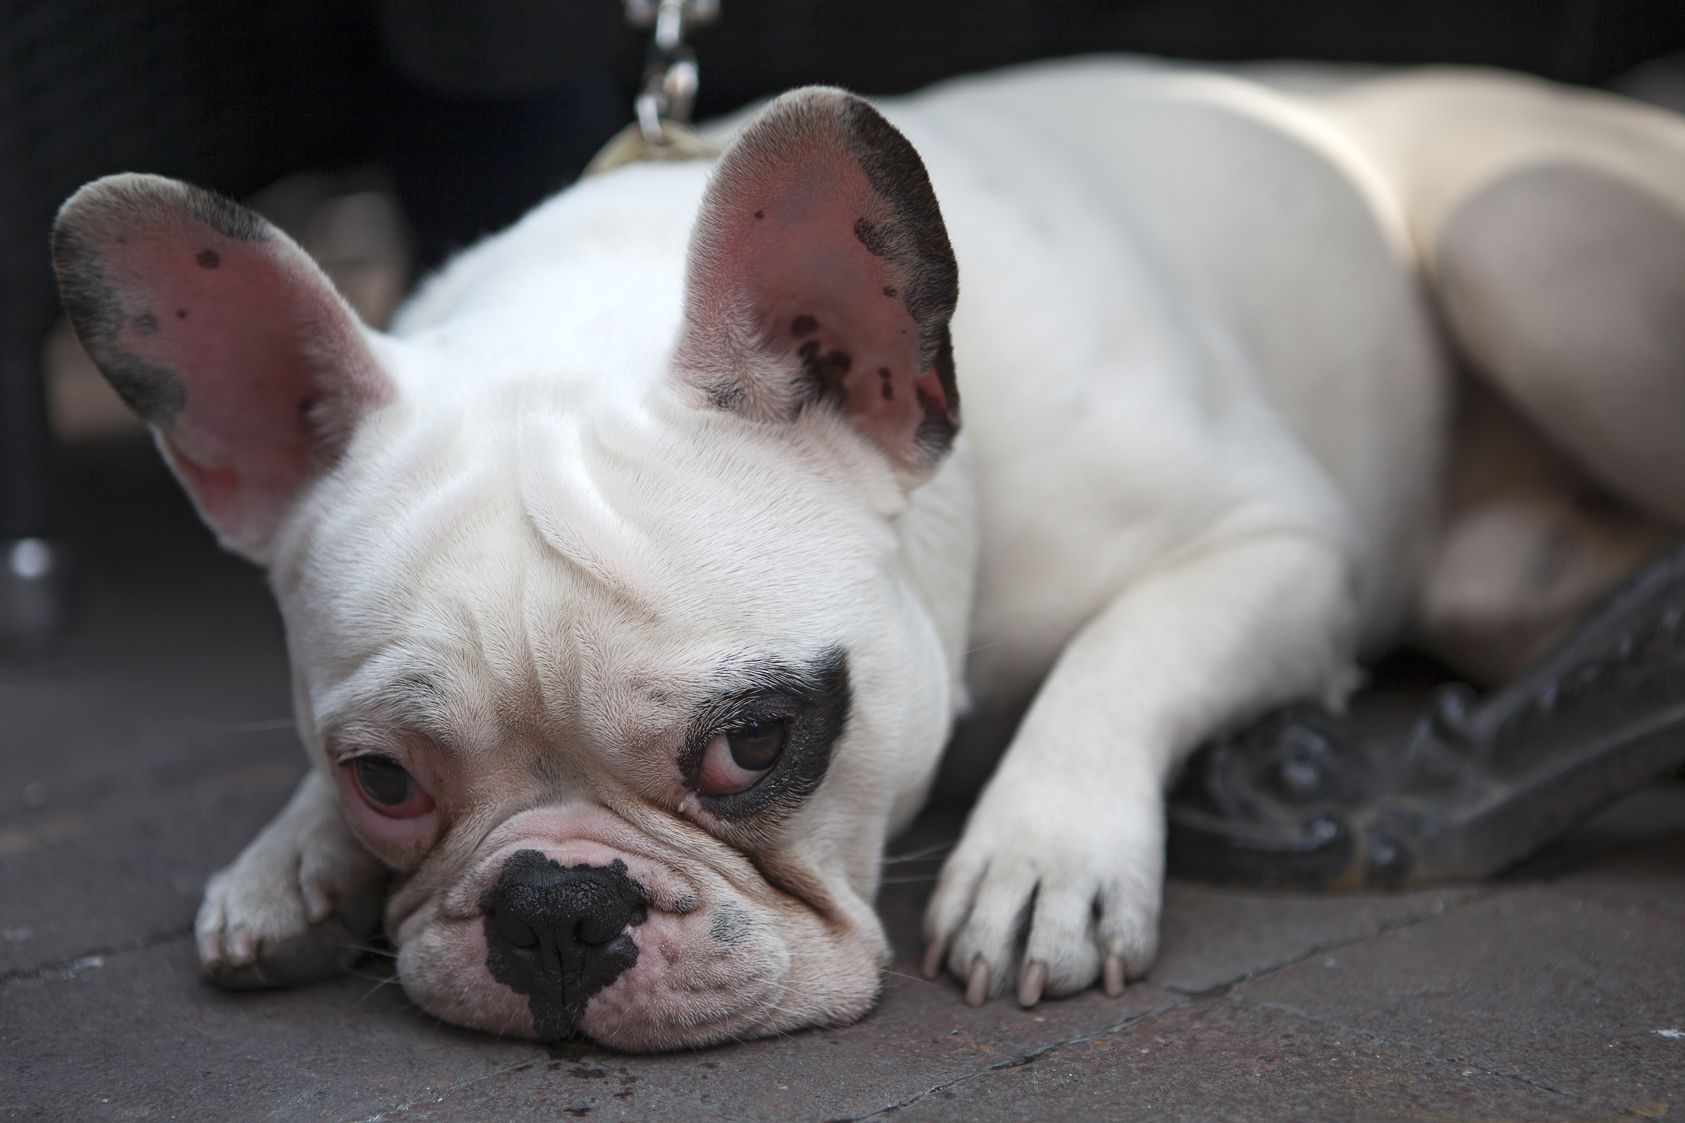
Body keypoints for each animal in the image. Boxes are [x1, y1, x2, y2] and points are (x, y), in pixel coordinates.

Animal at [49, 56, 1685, 1045]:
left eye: (757, 742)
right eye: (382, 776)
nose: (554, 906)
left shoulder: (1282, 543)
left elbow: (1123, 652)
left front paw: (1043, 850)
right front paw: (289, 855)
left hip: (1519, 238)